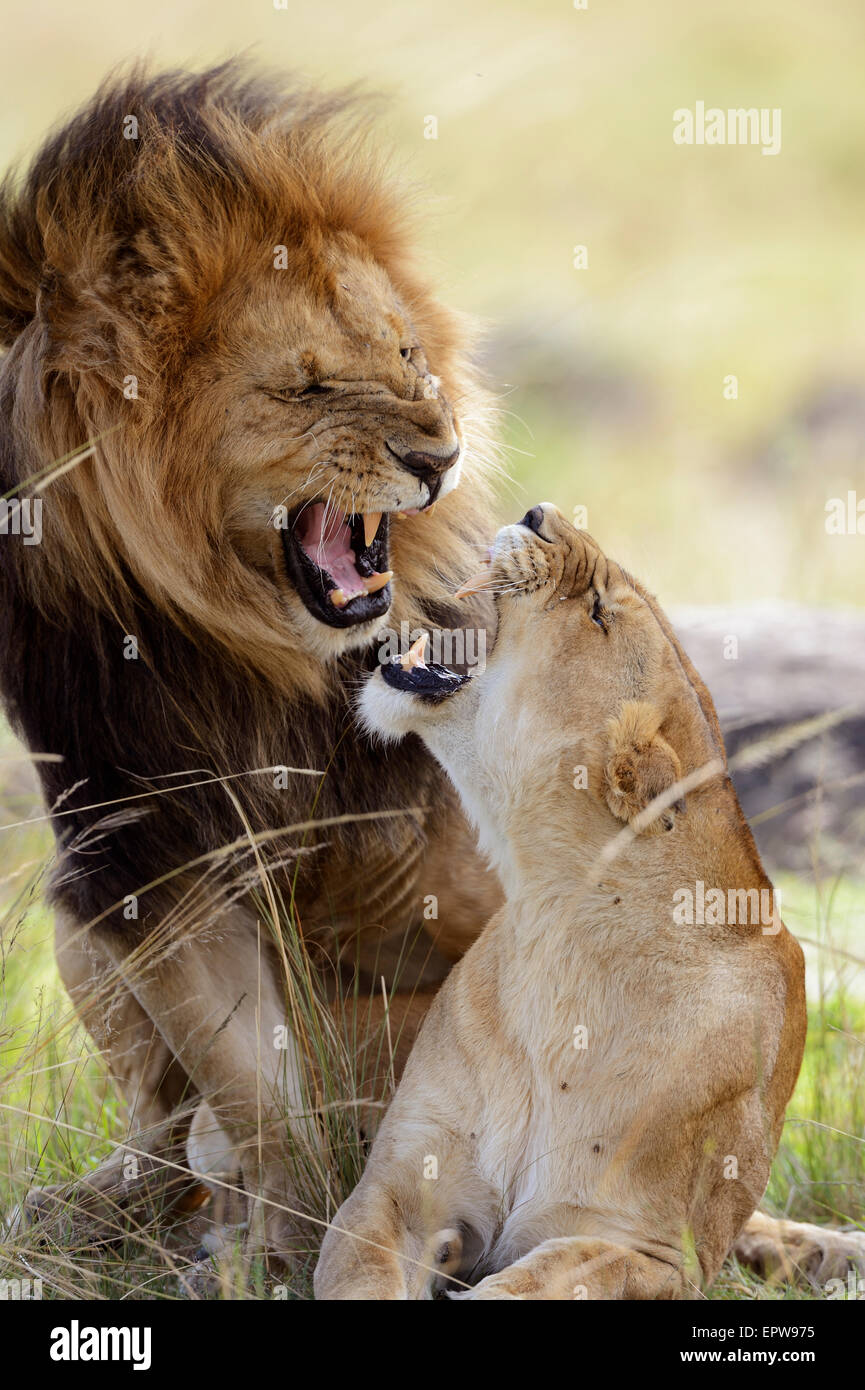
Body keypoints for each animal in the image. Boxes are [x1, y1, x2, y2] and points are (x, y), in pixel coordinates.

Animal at [0, 64, 859, 1287]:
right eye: (309, 389)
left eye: (407, 357)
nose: (454, 464)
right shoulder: (140, 848)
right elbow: (260, 1100)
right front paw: (262, 1246)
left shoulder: (630, 1238)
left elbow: (543, 1266)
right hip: (79, 920)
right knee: (169, 1131)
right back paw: (99, 1208)